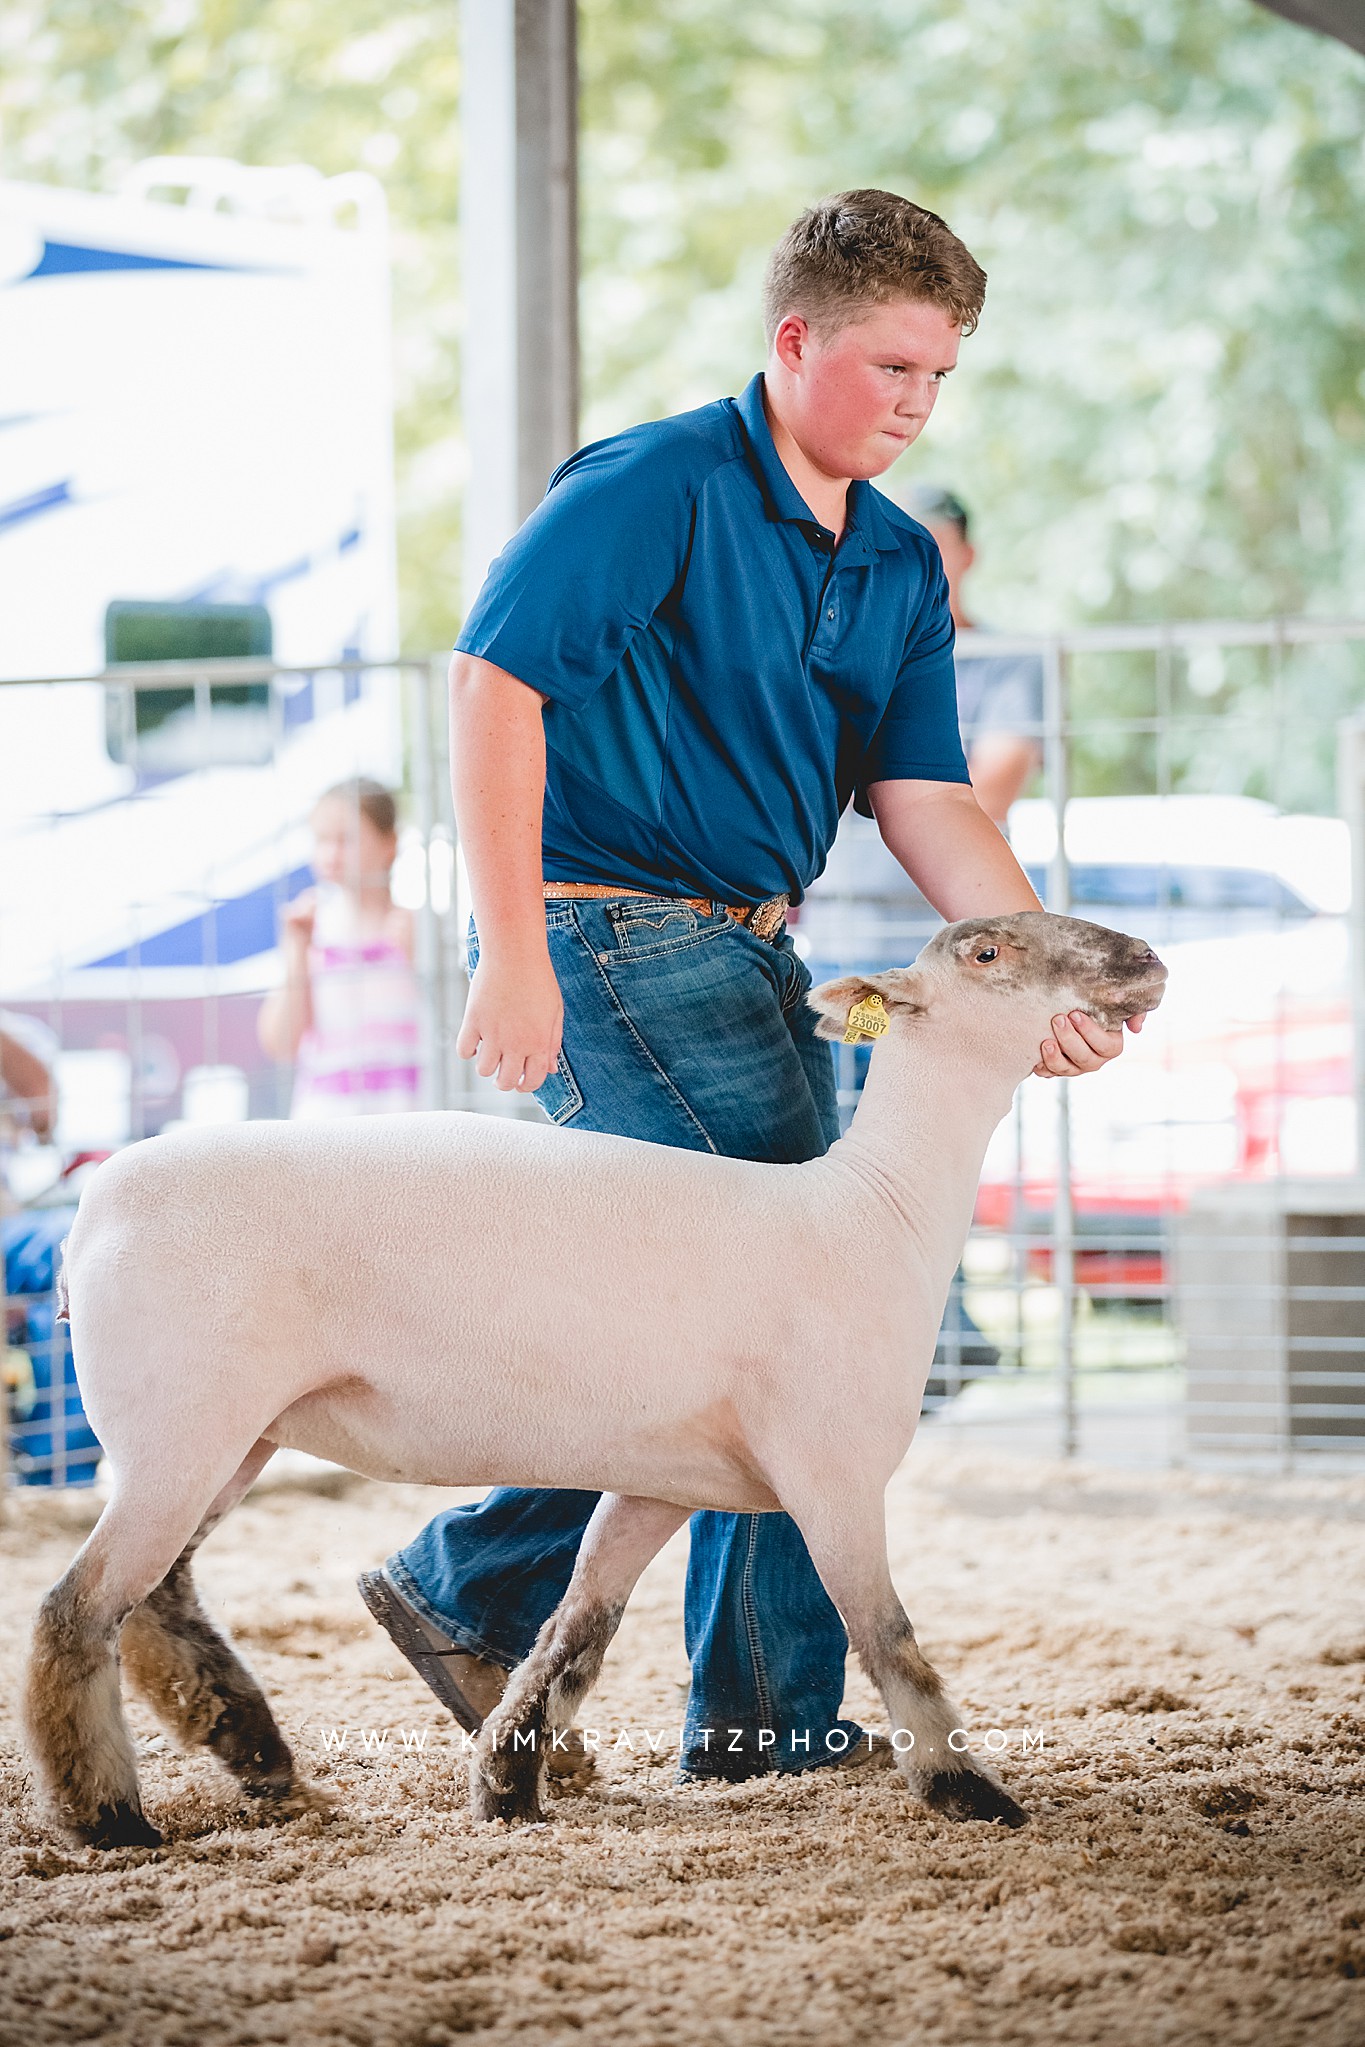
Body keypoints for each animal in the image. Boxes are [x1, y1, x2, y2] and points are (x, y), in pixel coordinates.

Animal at [24, 912, 1162, 1842]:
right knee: (78, 1609)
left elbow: (577, 1627)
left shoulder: (664, 1479)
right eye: (986, 953)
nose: (1147, 960)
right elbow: (889, 1637)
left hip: (229, 1433)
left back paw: (256, 1756)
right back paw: (107, 1816)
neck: (873, 1211)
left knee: (158, 1600)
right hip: (181, 1424)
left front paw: (508, 1785)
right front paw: (970, 1791)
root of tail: (92, 1209)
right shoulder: (830, 1474)